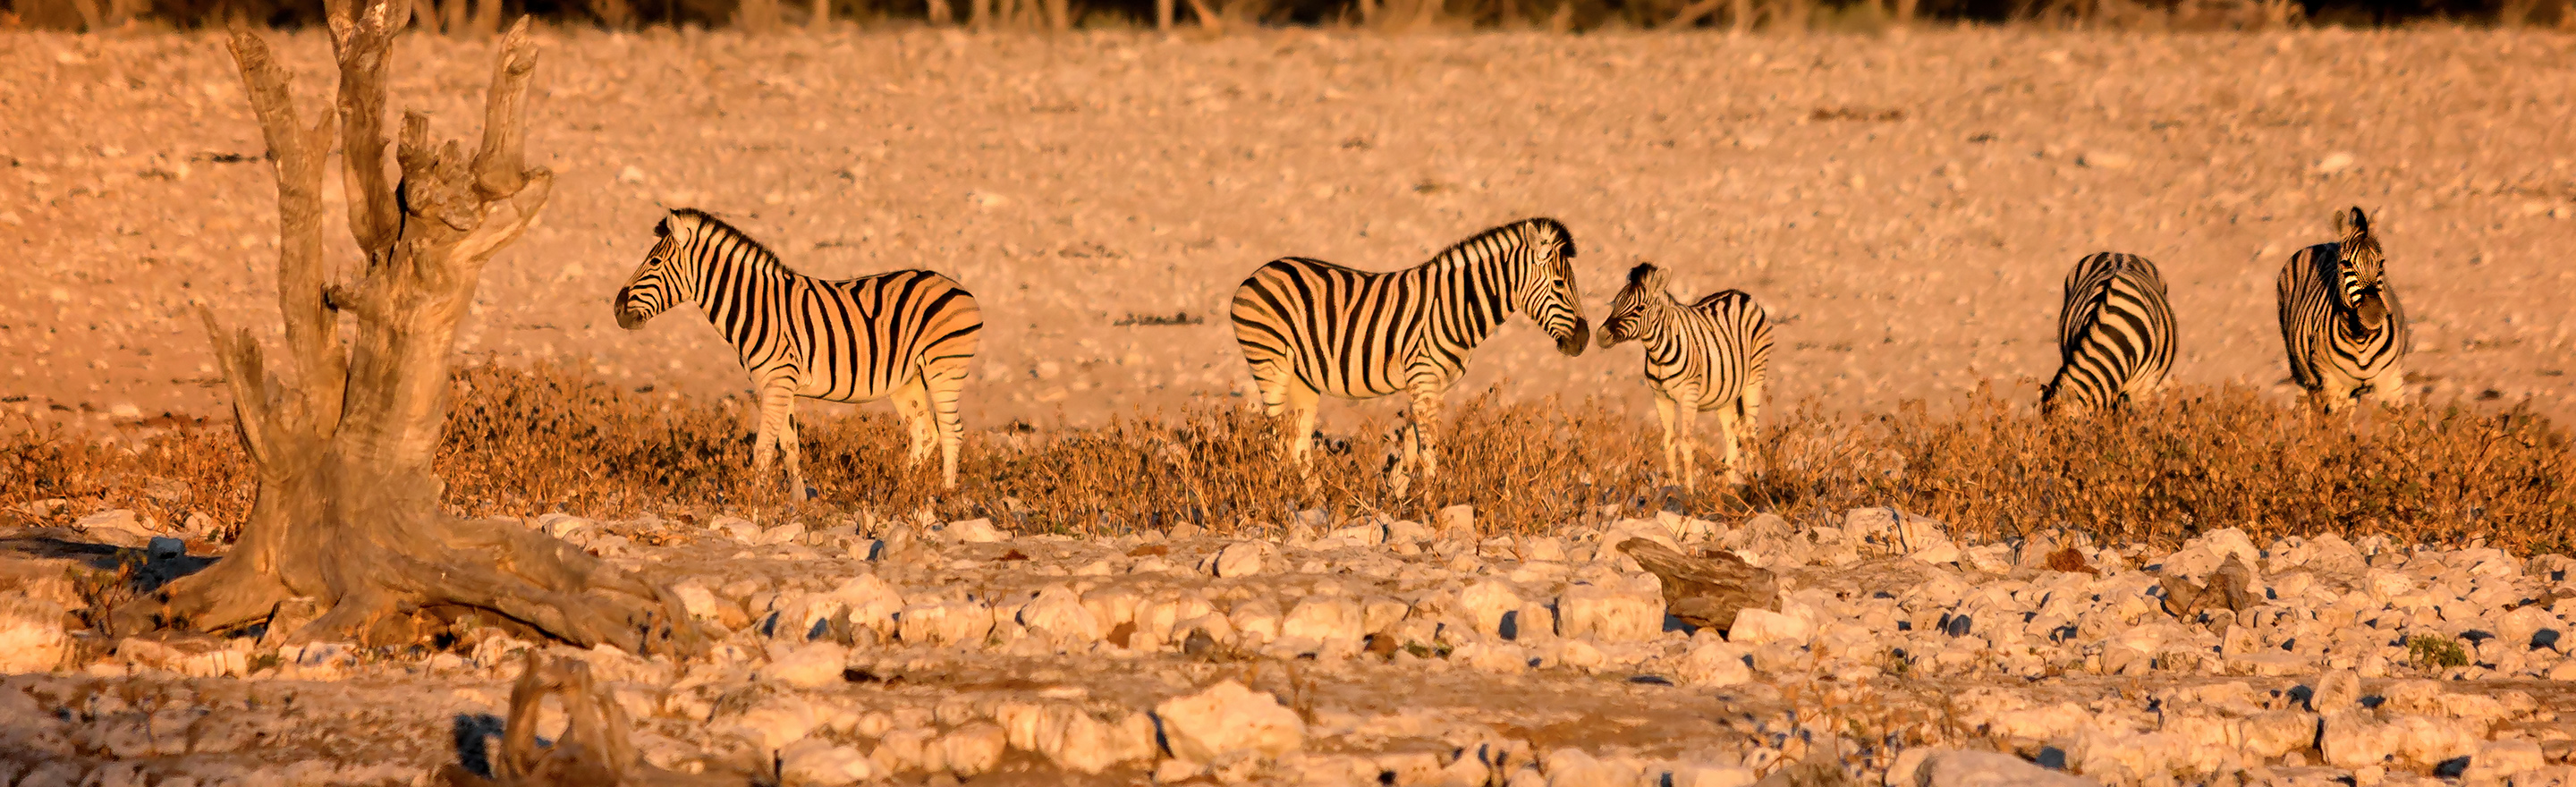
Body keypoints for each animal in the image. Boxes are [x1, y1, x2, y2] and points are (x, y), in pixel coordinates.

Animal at [613, 209, 984, 491]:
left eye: (654, 262)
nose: (616, 309)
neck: (756, 305)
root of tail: (958, 286)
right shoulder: (778, 385)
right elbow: (790, 449)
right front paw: (797, 506)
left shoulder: (777, 382)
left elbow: (763, 450)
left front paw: (756, 507)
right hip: (906, 379)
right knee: (925, 433)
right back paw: (899, 494)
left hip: (943, 368)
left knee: (952, 433)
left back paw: (942, 499)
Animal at [1225, 215, 1587, 486]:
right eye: (1559, 284)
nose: (1583, 341)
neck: (1455, 306)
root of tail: (1260, 271)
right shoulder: (1423, 377)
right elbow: (1428, 447)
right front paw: (1432, 500)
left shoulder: (1435, 384)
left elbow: (1412, 448)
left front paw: (1402, 498)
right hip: (1270, 362)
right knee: (1274, 435)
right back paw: (1280, 495)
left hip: (1304, 377)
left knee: (1297, 443)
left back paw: (1311, 499)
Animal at [1587, 260, 1772, 488]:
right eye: (1615, 303)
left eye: (1640, 308)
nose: (1600, 336)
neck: (1659, 352)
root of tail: (1740, 294)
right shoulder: (1660, 396)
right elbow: (1668, 443)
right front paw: (1672, 487)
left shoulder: (1688, 395)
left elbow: (1686, 443)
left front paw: (1689, 491)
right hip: (1727, 396)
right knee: (1732, 438)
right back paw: (1727, 489)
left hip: (1754, 379)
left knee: (1750, 433)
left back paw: (1754, 484)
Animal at [2276, 206, 2411, 411]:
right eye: (2346, 264)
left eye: (2382, 262)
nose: (2373, 314)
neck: (2361, 339)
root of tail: (2324, 244)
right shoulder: (2334, 386)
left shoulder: (2392, 382)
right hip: (2301, 373)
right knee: (2306, 409)